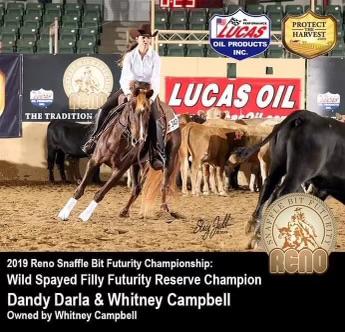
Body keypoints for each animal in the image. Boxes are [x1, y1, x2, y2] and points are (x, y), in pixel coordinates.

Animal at [57, 87, 180, 222]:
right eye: (131, 108)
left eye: (147, 112)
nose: (138, 139)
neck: (118, 140)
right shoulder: (94, 161)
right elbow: (80, 189)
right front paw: (64, 212)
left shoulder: (119, 170)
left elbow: (101, 193)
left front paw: (85, 215)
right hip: (137, 165)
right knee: (137, 188)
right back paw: (125, 211)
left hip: (169, 161)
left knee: (164, 185)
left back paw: (164, 210)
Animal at [235, 110, 344, 248]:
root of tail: (305, 116)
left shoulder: (322, 187)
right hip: (299, 171)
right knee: (282, 192)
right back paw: (260, 236)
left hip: (278, 164)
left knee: (269, 185)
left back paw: (254, 229)